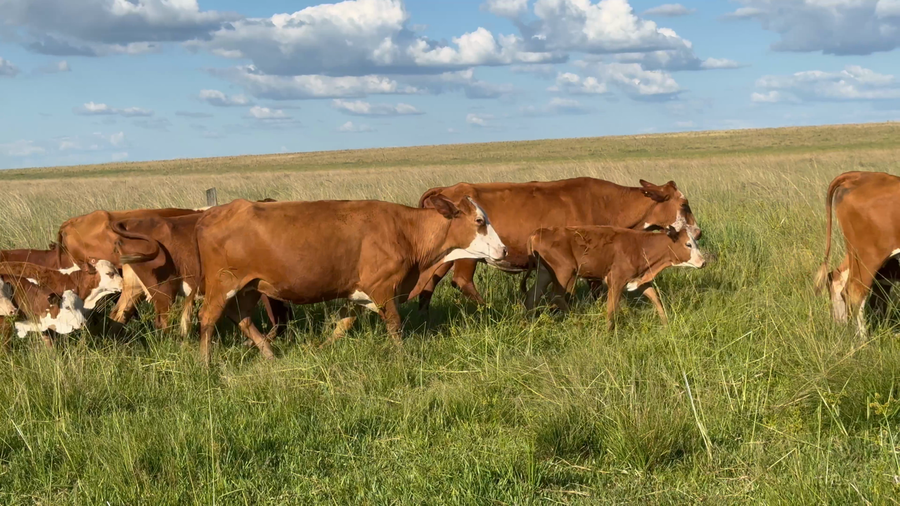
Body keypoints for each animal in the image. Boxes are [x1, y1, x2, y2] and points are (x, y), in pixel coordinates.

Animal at [191, 197, 507, 363]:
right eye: (480, 221)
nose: (504, 250)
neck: (405, 231)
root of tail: (215, 212)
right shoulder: (383, 288)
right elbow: (395, 326)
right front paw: (402, 356)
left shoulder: (358, 294)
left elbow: (342, 325)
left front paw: (320, 349)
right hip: (223, 284)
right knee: (207, 318)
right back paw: (205, 362)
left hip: (250, 286)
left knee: (242, 318)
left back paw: (269, 353)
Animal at [416, 177, 701, 312]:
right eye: (684, 204)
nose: (698, 232)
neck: (608, 203)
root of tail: (447, 189)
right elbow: (590, 289)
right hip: (467, 257)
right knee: (461, 281)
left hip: (445, 257)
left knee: (429, 281)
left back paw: (424, 314)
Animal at [524, 226, 706, 330]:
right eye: (688, 244)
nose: (703, 262)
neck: (640, 246)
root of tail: (539, 232)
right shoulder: (616, 280)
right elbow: (611, 309)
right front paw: (608, 333)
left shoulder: (639, 279)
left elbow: (655, 298)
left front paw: (666, 323)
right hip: (565, 271)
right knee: (556, 296)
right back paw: (578, 321)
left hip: (545, 273)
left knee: (532, 296)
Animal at [814, 171, 900, 337]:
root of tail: (861, 176)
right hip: (869, 255)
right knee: (855, 291)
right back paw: (863, 339)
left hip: (854, 253)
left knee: (836, 277)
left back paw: (841, 326)